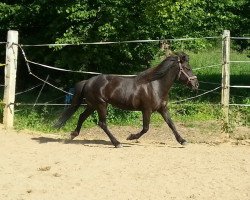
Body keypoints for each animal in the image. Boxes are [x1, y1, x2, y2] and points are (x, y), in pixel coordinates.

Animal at [55, 52, 199, 148]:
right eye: (188, 68)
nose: (196, 85)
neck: (155, 85)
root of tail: (88, 81)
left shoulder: (162, 109)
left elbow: (171, 124)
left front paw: (182, 140)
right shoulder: (147, 110)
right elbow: (145, 128)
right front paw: (130, 137)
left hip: (92, 105)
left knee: (82, 116)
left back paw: (73, 134)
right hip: (101, 105)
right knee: (102, 123)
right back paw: (117, 143)